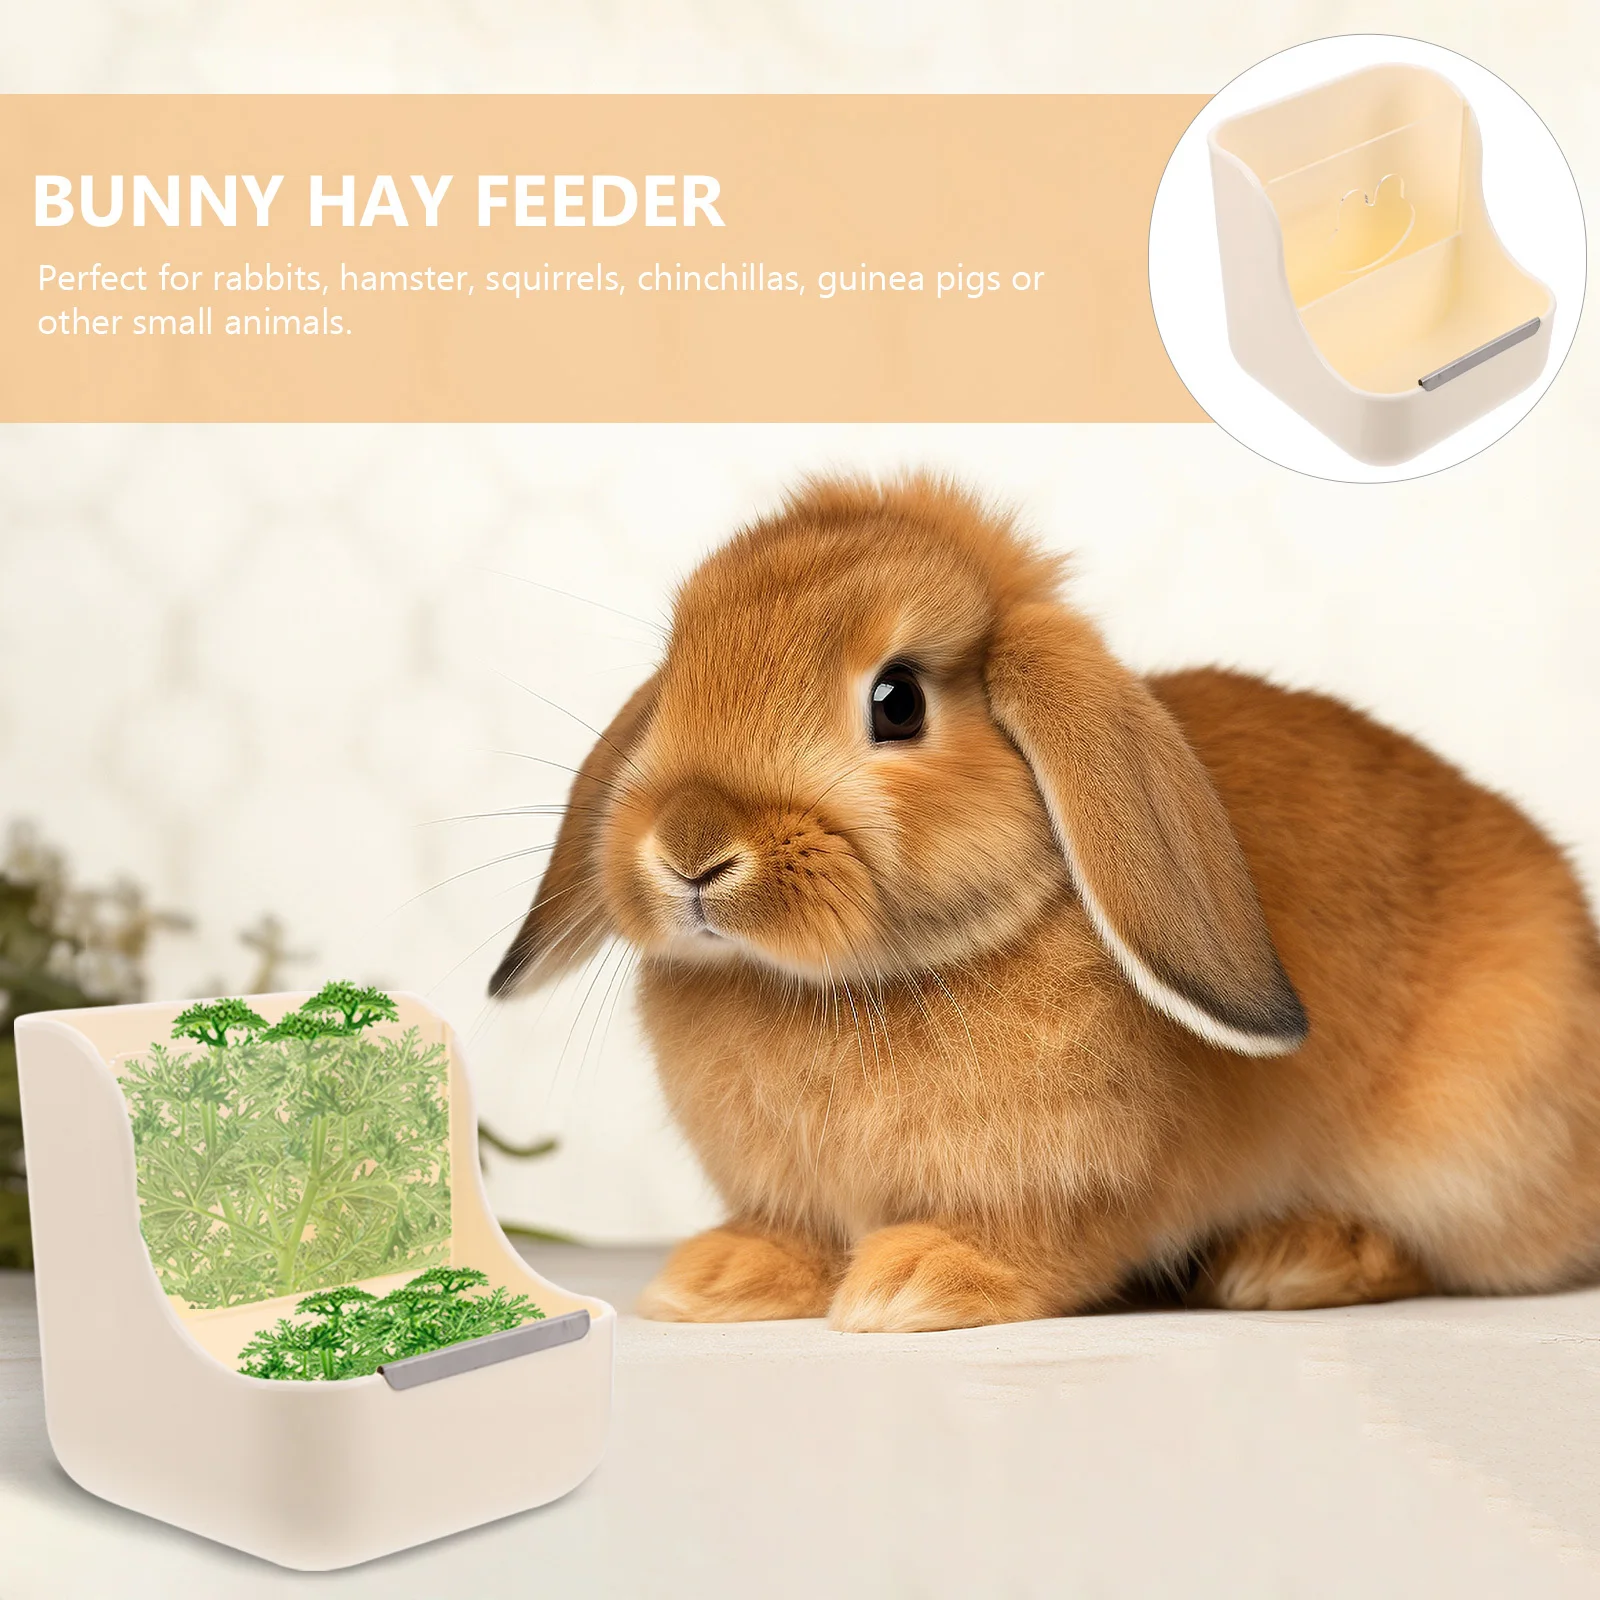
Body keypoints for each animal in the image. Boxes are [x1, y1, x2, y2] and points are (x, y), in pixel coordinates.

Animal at [489, 476, 1600, 1331]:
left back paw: (1291, 1261)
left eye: (898, 701)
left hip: (1469, 1150)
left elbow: (1045, 1244)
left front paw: (916, 1280)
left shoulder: (1087, 1188)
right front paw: (719, 1277)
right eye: (676, 674)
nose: (689, 851)